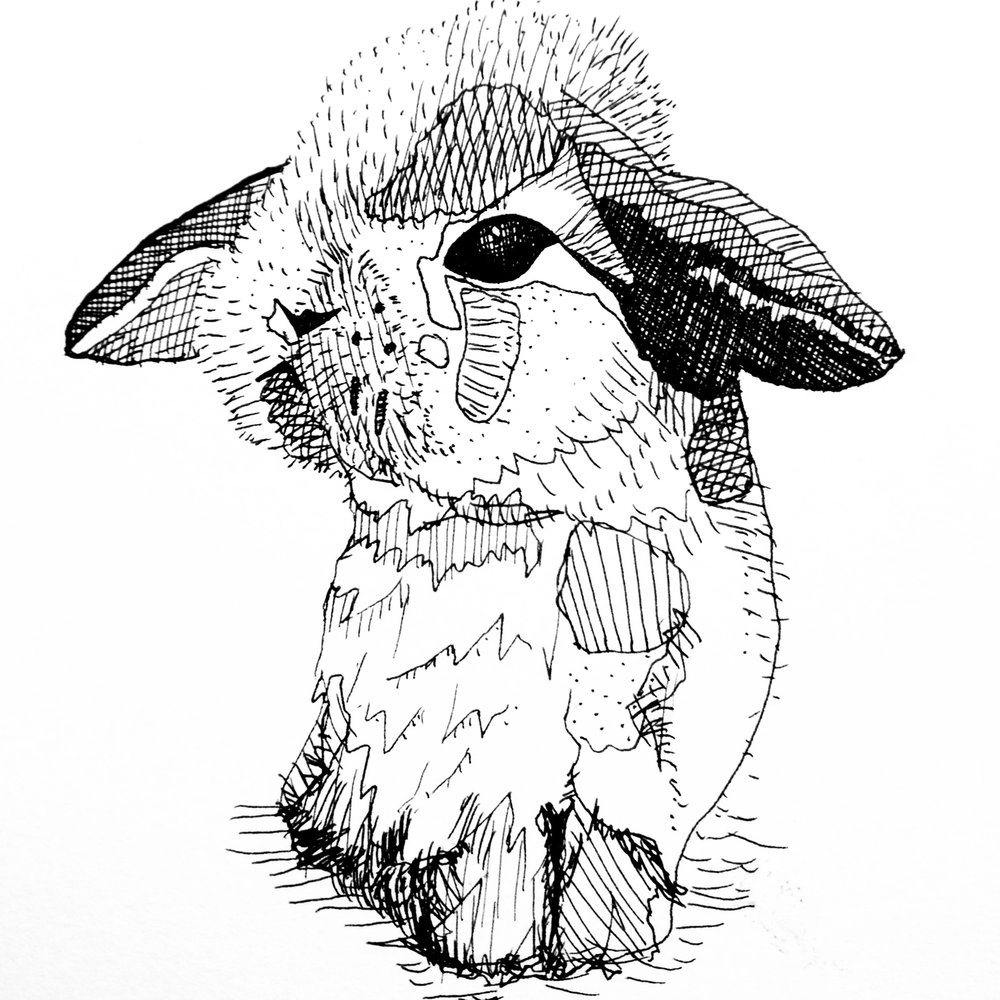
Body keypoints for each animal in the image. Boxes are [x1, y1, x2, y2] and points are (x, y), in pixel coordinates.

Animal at [65, 1, 901, 983]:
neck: (488, 520)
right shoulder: (412, 744)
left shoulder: (619, 731)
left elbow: (599, 823)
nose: (294, 311)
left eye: (498, 247)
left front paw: (573, 942)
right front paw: (464, 931)